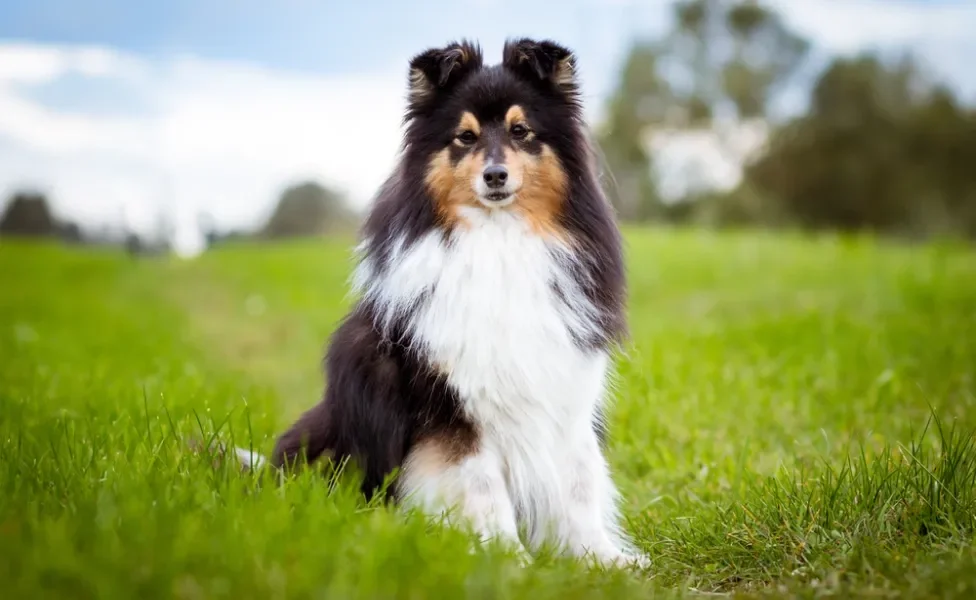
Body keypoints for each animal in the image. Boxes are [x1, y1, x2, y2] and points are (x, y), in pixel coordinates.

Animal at [238, 37, 648, 572]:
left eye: (520, 131)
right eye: (465, 138)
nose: (495, 176)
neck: (500, 241)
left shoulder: (565, 387)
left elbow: (577, 482)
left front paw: (600, 558)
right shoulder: (453, 407)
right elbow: (482, 487)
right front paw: (508, 559)